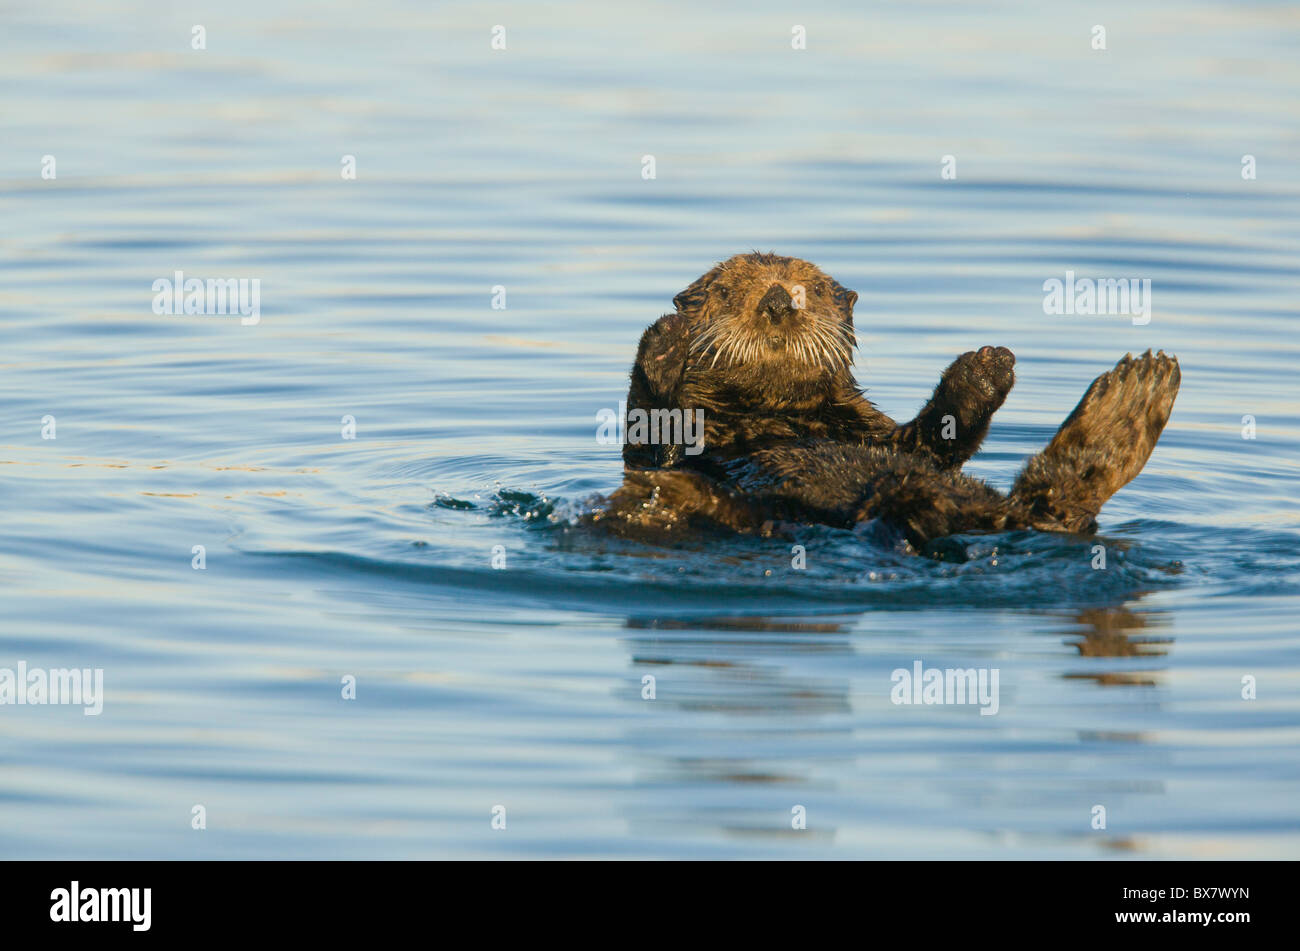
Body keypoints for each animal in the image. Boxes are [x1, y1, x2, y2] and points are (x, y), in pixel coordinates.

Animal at [591, 252, 1180, 551]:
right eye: (725, 292)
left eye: (813, 288)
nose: (779, 300)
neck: (772, 414)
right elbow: (653, 443)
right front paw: (665, 340)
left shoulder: (877, 431)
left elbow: (934, 439)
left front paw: (984, 368)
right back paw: (1132, 399)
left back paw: (1134, 397)